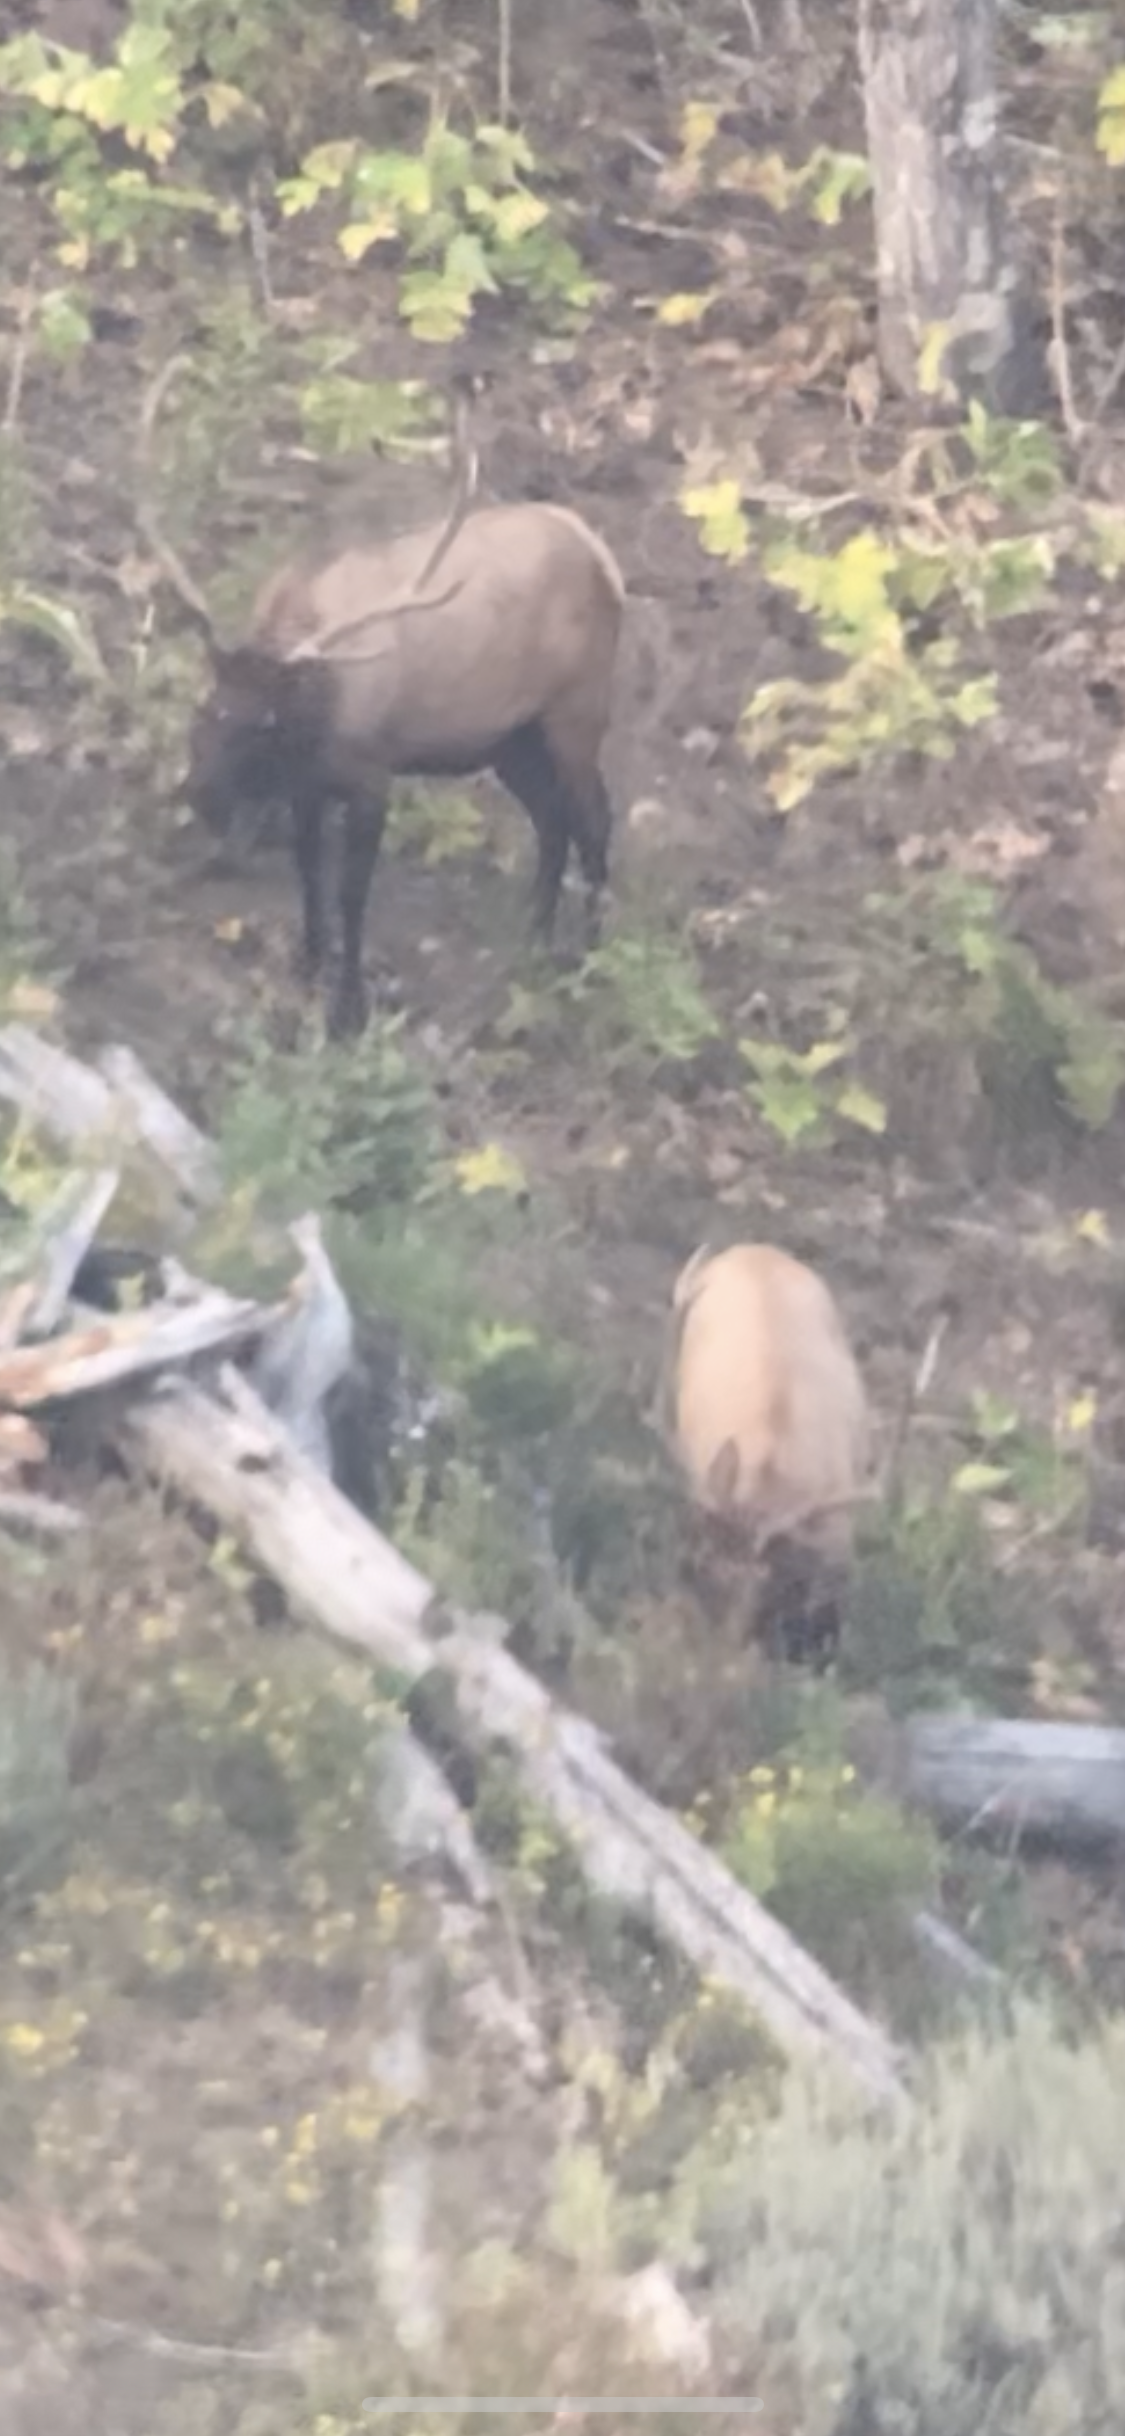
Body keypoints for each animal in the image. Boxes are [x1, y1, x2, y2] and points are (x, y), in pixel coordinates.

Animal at [138, 361, 626, 1037]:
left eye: (265, 723)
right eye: (206, 709)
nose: (201, 795)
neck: (316, 716)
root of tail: (608, 565)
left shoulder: (371, 780)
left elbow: (351, 893)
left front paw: (348, 1009)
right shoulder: (308, 785)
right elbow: (308, 869)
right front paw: (308, 968)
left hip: (576, 711)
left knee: (594, 817)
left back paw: (590, 956)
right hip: (508, 739)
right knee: (552, 817)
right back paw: (533, 937)